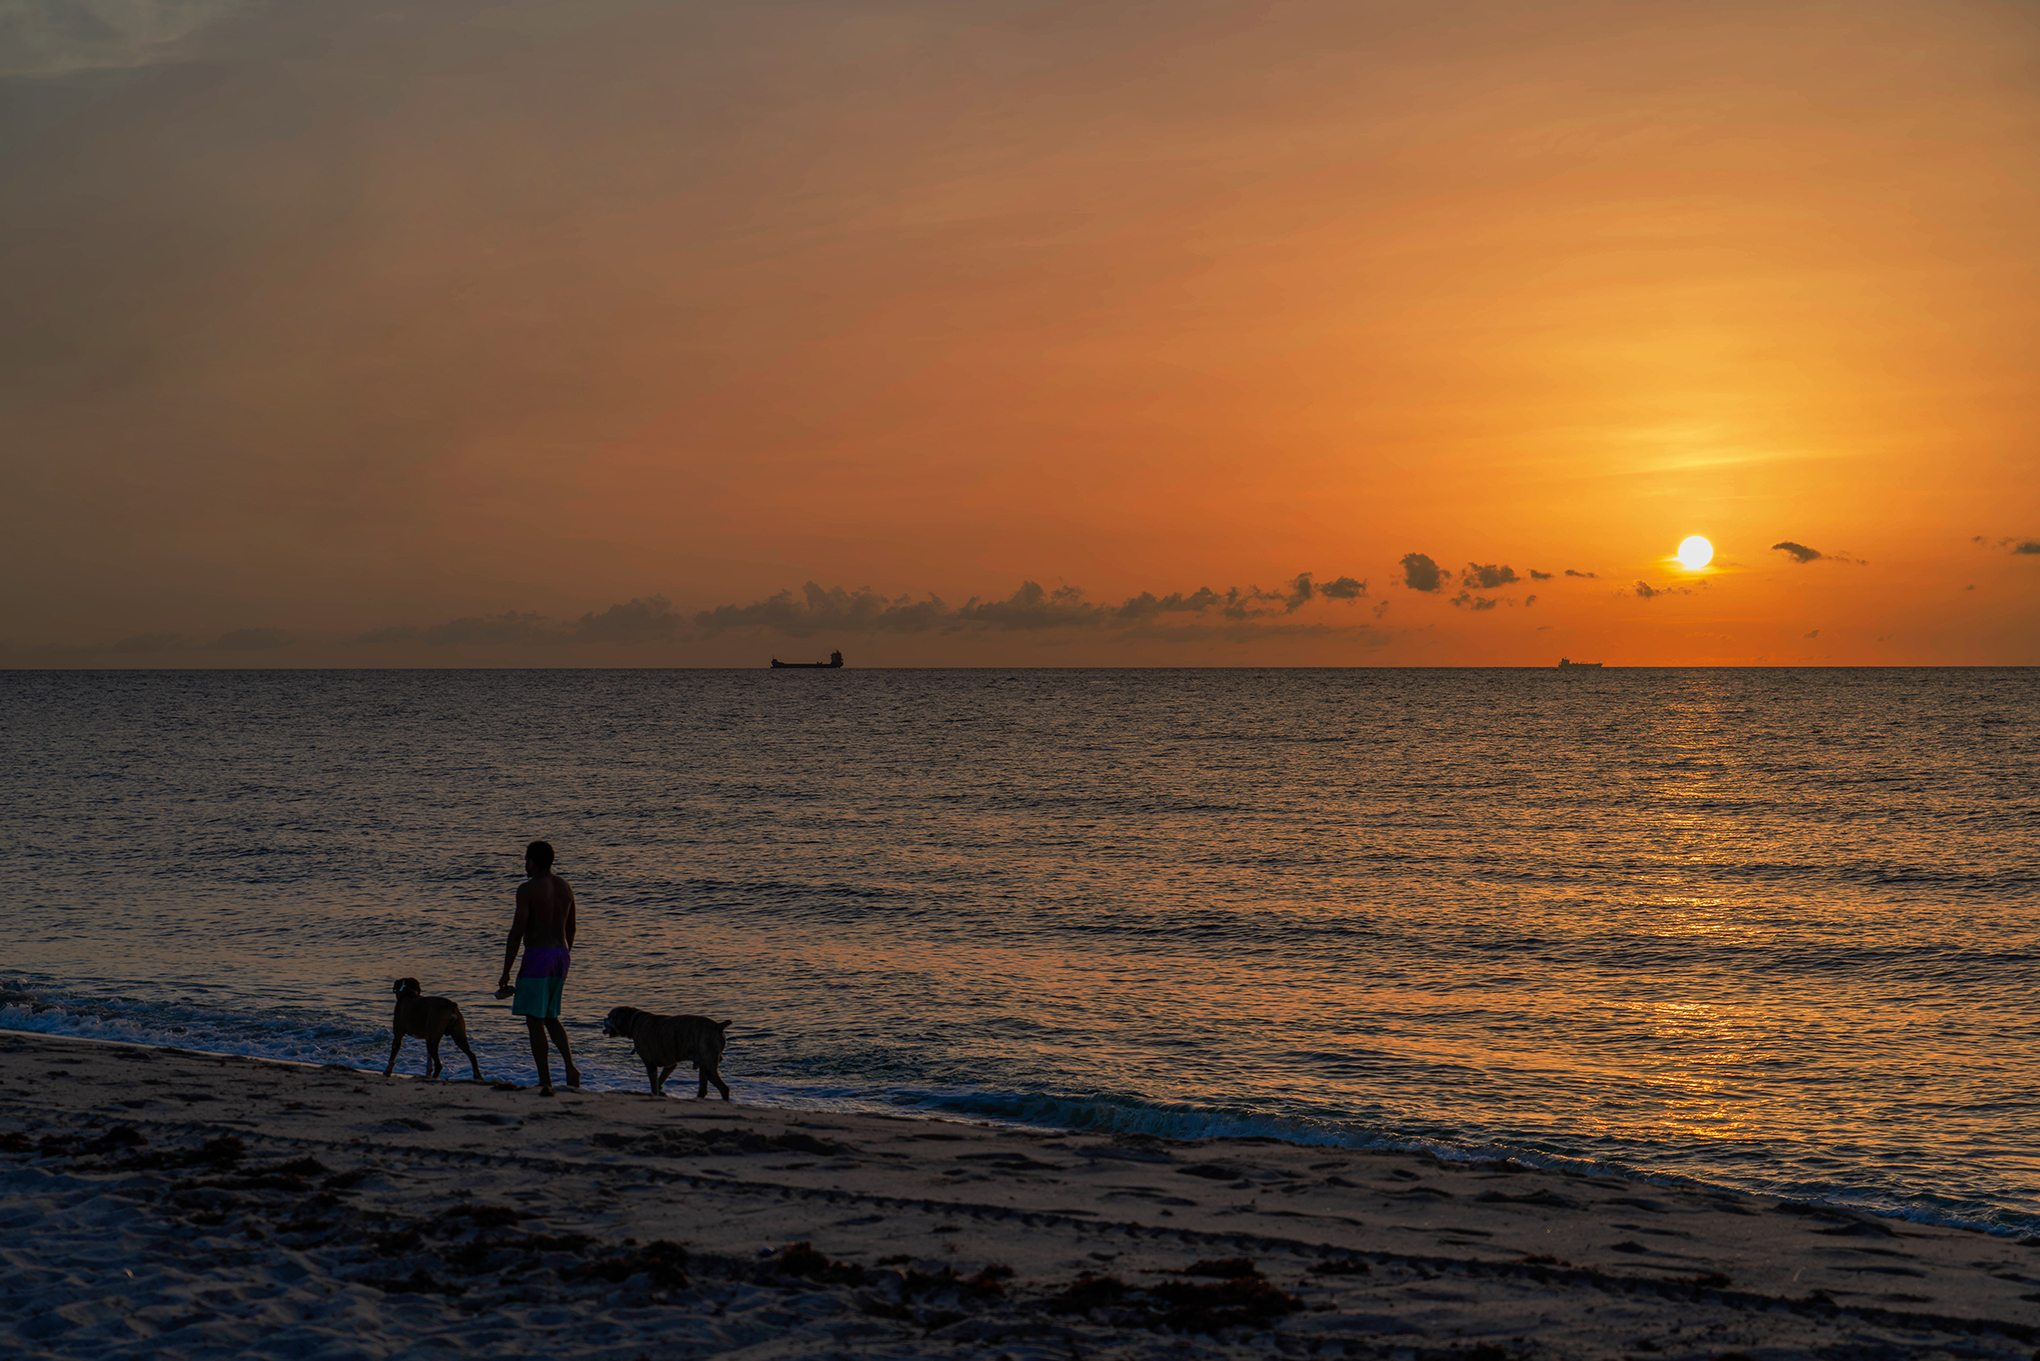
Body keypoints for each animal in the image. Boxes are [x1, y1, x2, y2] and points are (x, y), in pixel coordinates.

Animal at [595, 1007, 734, 1101]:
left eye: (610, 1017)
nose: (603, 1019)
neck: (634, 1021)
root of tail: (718, 1026)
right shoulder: (670, 1064)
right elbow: (659, 1080)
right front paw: (660, 1092)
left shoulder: (650, 1065)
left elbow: (654, 1083)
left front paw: (656, 1093)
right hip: (704, 1065)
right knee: (703, 1089)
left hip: (708, 1065)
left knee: (723, 1088)